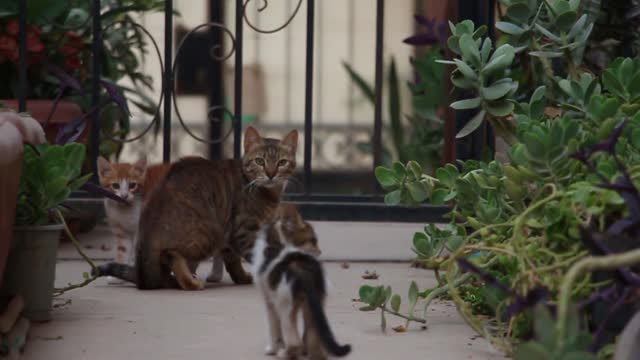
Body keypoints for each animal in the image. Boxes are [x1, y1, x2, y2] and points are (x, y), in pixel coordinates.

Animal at [94, 126, 298, 290]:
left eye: (282, 162)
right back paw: (190, 282)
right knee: (171, 254)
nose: (271, 174)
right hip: (210, 233)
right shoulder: (244, 231)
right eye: (259, 161)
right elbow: (262, 258)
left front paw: (242, 278)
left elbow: (233, 261)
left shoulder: (231, 236)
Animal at [250, 204, 350, 358]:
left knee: (294, 342)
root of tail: (303, 267)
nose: (320, 251)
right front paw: (302, 351)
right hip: (315, 304)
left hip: (285, 305)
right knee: (314, 338)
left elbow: (274, 329)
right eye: (313, 241)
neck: (280, 244)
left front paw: (272, 349)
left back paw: (285, 353)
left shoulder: (269, 300)